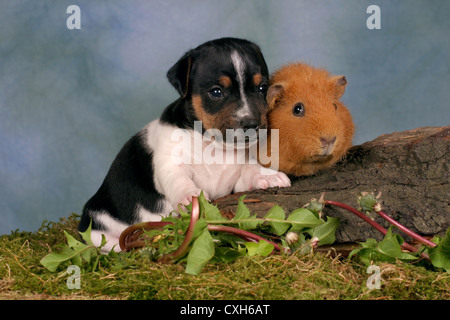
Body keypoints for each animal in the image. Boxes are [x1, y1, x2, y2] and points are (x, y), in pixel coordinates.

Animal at [78, 38, 290, 252]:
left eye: (262, 88)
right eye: (216, 92)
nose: (252, 124)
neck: (215, 146)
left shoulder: (236, 181)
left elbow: (250, 169)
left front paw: (267, 175)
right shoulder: (170, 162)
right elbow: (179, 180)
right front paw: (191, 196)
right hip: (100, 227)